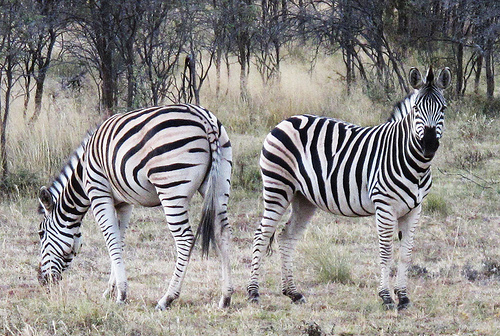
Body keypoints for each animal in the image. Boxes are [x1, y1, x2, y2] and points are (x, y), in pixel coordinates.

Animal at [36, 103, 232, 310]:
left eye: (41, 234)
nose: (41, 280)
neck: (82, 176)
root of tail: (204, 119)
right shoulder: (124, 203)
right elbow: (119, 241)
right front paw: (110, 290)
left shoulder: (99, 194)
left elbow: (111, 240)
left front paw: (121, 294)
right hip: (219, 184)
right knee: (223, 232)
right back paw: (225, 297)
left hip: (171, 188)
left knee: (185, 239)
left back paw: (167, 298)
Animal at [248, 67, 452, 312]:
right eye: (416, 109)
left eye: (443, 108)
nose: (429, 145)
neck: (414, 165)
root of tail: (284, 121)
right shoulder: (384, 206)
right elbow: (386, 252)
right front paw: (386, 297)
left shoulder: (414, 209)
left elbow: (406, 253)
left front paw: (403, 297)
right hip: (278, 187)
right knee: (261, 235)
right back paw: (253, 293)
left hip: (303, 198)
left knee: (286, 236)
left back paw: (293, 293)